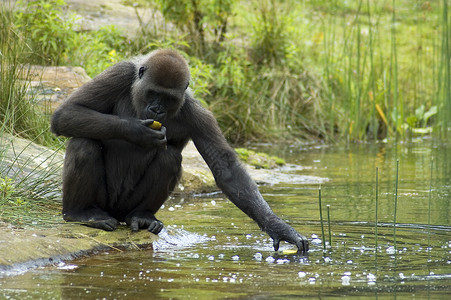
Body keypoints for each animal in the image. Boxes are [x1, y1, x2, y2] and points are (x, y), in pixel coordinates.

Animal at [51, 48, 308, 252]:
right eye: (153, 93)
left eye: (168, 98)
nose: (156, 110)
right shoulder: (120, 73)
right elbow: (67, 112)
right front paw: (137, 131)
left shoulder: (197, 113)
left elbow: (226, 169)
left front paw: (279, 227)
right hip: (104, 205)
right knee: (83, 142)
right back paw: (81, 212)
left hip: (125, 208)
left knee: (170, 157)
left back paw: (142, 216)